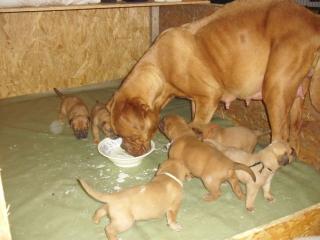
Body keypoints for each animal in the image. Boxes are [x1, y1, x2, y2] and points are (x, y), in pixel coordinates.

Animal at [106, 0, 320, 157]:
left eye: (130, 136)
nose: (124, 148)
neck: (160, 68)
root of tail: (312, 19)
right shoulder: (196, 100)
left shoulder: (209, 97)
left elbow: (198, 125)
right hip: (295, 96)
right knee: (294, 130)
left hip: (275, 91)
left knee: (279, 134)